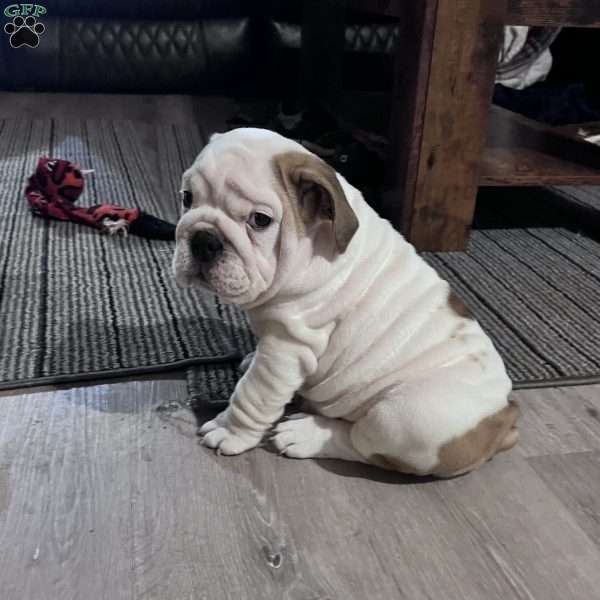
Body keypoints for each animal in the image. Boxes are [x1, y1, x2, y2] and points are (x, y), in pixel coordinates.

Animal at [173, 127, 520, 478]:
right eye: (187, 198)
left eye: (260, 220)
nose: (203, 239)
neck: (310, 244)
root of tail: (503, 421)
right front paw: (248, 360)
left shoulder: (287, 347)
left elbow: (252, 394)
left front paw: (228, 430)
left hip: (402, 418)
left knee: (361, 443)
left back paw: (305, 434)